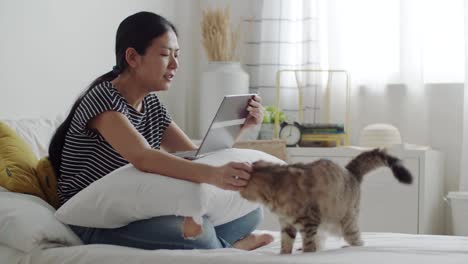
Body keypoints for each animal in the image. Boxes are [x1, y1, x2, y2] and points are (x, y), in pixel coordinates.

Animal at [239, 148, 412, 254]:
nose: (240, 194)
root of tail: (350, 171)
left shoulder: (309, 222)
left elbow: (308, 243)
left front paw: (307, 252)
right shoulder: (287, 224)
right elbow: (286, 243)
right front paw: (284, 254)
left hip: (347, 223)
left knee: (358, 241)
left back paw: (348, 246)